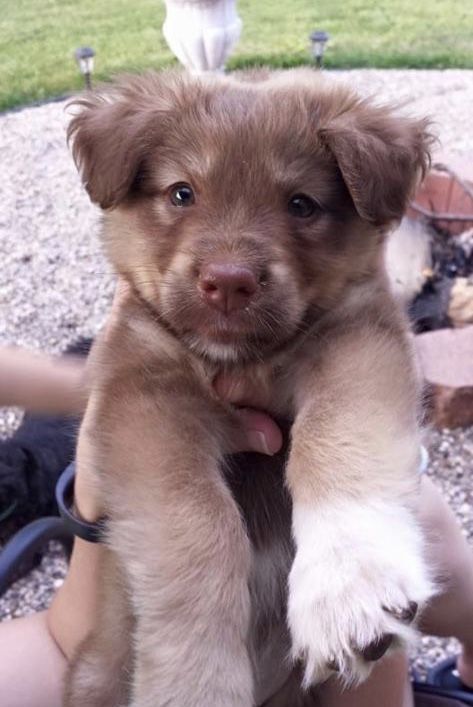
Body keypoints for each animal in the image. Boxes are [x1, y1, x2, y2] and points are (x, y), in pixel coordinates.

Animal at [64, 68, 434, 707]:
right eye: (182, 193)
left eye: (301, 204)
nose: (229, 282)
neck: (244, 359)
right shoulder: (142, 397)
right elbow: (200, 526)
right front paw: (195, 682)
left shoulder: (356, 339)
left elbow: (336, 437)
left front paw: (350, 584)